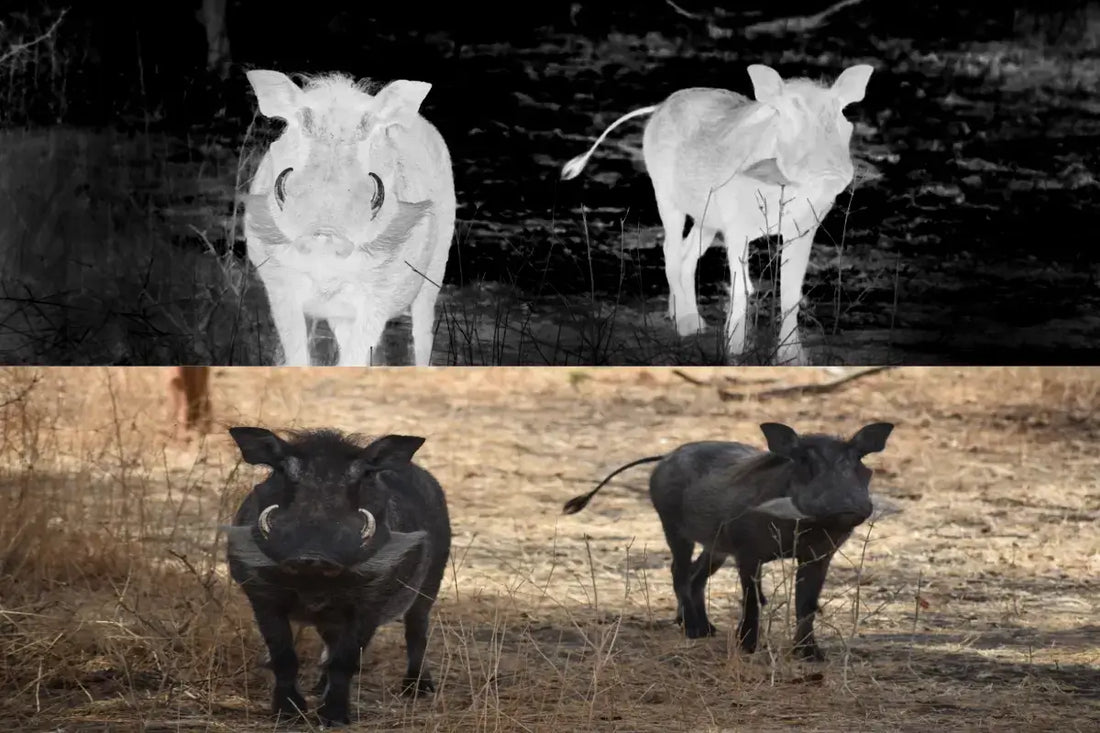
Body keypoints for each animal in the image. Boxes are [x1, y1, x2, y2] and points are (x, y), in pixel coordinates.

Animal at [223, 427, 452, 727]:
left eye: (363, 474)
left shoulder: (370, 604)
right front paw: (287, 712)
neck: (314, 582)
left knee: (417, 632)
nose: (312, 555)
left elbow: (346, 660)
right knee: (330, 643)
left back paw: (417, 689)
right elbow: (283, 656)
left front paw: (333, 717)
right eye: (282, 470)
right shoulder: (262, 597)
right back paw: (319, 686)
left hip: (428, 587)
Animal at [243, 70, 456, 367]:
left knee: (422, 339)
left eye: (370, 131)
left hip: (432, 278)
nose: (325, 229)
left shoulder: (377, 298)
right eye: (299, 125)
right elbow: (298, 358)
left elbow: (354, 360)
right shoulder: (280, 288)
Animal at [560, 64, 875, 365]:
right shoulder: (737, 229)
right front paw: (735, 354)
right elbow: (741, 289)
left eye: (842, 115)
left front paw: (792, 360)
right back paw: (687, 326)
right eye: (785, 116)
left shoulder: (804, 228)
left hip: (706, 218)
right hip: (666, 197)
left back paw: (693, 324)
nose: (830, 172)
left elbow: (790, 292)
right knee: (670, 252)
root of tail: (660, 105)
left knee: (687, 256)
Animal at [563, 421, 895, 660]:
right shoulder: (748, 555)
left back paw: (704, 627)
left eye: (859, 460)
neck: (803, 525)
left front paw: (810, 654)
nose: (847, 508)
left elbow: (807, 605)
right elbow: (752, 600)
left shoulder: (818, 557)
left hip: (716, 547)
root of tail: (667, 455)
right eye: (803, 460)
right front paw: (746, 646)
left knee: (696, 577)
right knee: (679, 573)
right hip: (675, 530)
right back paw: (693, 629)